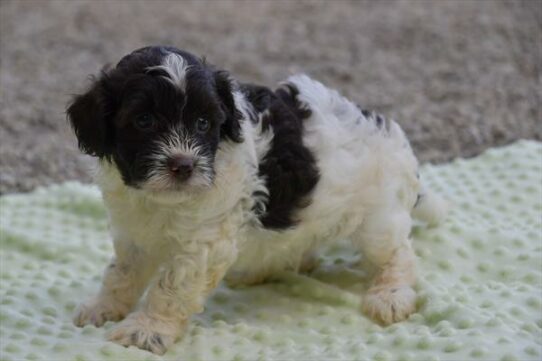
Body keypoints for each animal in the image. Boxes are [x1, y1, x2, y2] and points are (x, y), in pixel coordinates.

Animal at [68, 45, 448, 354]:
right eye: (144, 120)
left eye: (204, 123)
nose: (184, 166)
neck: (162, 199)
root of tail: (394, 137)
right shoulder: (134, 233)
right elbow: (121, 272)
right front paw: (103, 307)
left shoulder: (204, 243)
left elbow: (170, 287)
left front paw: (146, 331)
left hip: (378, 218)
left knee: (397, 255)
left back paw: (390, 295)